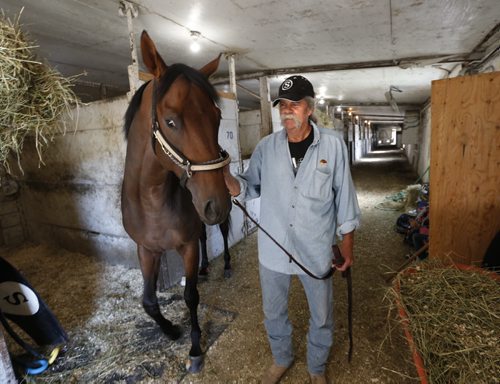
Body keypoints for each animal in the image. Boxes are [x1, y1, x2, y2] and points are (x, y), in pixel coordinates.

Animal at [121, 30, 230, 372]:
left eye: (217, 117)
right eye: (170, 121)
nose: (217, 203)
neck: (152, 200)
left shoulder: (186, 246)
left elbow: (191, 296)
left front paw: (195, 349)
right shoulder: (146, 249)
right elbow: (148, 300)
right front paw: (170, 330)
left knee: (221, 234)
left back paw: (225, 266)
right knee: (206, 236)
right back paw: (207, 266)